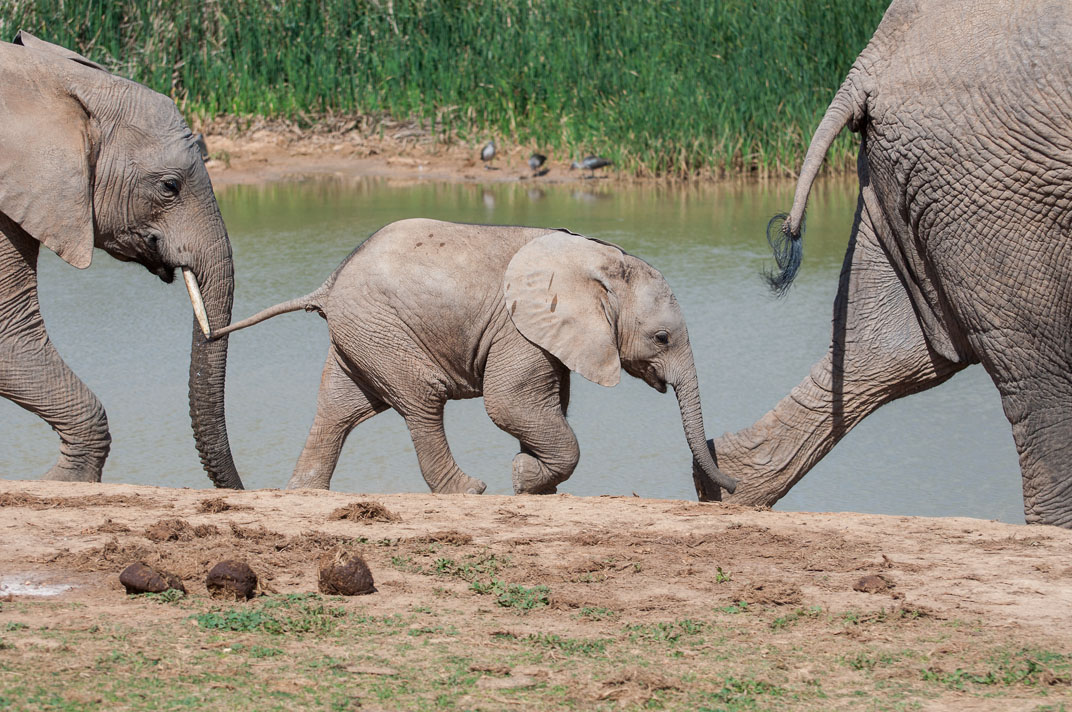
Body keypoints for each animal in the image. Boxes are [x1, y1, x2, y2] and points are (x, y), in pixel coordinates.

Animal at [1, 33, 241, 488]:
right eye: (170, 186)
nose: (241, 489)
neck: (49, 80)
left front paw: (60, 481)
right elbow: (9, 333)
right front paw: (65, 482)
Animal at [217, 216, 737, 495]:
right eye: (662, 338)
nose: (729, 486)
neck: (601, 261)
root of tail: (329, 282)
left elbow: (549, 404)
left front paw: (536, 484)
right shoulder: (519, 328)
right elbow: (510, 404)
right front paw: (524, 478)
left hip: (362, 334)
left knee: (338, 408)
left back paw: (306, 495)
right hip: (383, 330)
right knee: (422, 400)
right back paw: (471, 490)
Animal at [694, 0, 1072, 523]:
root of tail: (870, 63)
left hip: (926, 177)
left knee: (892, 353)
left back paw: (725, 490)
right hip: (999, 184)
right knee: (1043, 376)